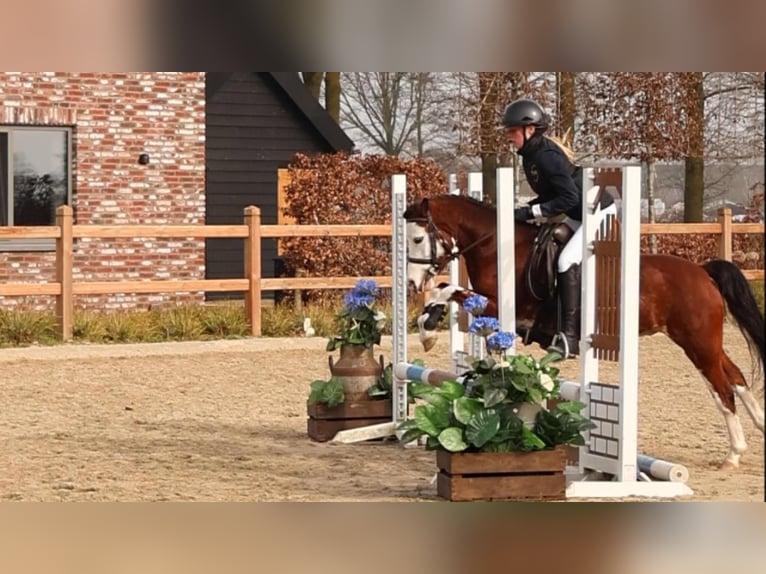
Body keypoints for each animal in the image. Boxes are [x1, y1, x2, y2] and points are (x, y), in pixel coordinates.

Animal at [403, 194, 764, 470]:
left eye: (418, 239)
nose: (410, 283)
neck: (496, 246)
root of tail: (704, 272)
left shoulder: (500, 308)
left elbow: (449, 290)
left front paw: (427, 332)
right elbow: (446, 290)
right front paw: (427, 326)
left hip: (697, 342)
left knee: (723, 389)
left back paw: (733, 455)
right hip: (702, 342)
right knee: (736, 377)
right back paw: (757, 428)